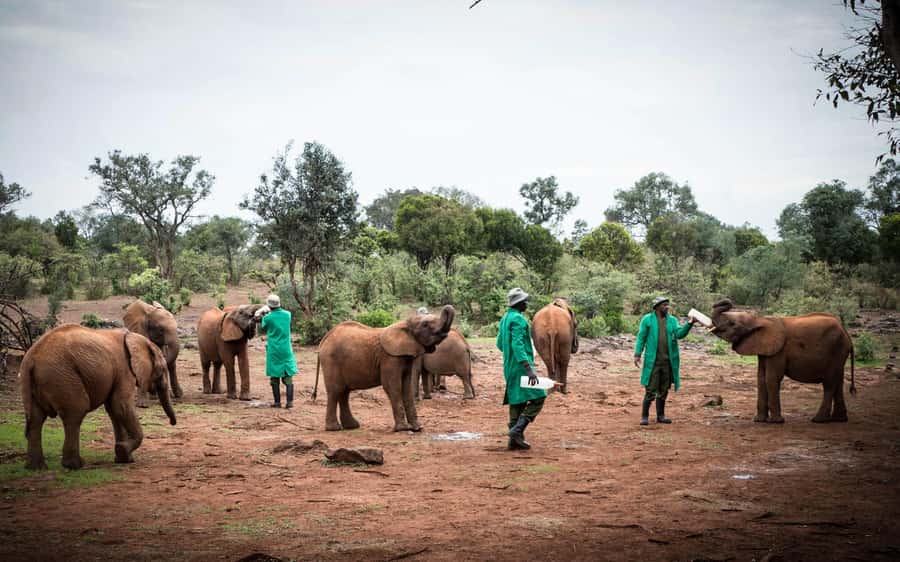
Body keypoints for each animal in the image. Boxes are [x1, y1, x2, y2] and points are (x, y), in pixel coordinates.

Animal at [19, 324, 177, 470]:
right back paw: (75, 465)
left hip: (39, 381)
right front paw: (122, 450)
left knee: (36, 419)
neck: (138, 339)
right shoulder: (124, 370)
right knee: (75, 413)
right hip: (61, 377)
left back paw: (36, 467)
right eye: (162, 369)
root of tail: (31, 358)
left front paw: (124, 458)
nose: (172, 423)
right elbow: (121, 406)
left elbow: (114, 410)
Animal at [313, 305, 455, 432]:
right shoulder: (390, 358)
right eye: (425, 324)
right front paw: (403, 429)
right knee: (336, 390)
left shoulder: (405, 357)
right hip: (331, 360)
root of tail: (324, 340)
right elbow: (393, 386)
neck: (405, 324)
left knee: (344, 392)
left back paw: (352, 426)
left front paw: (418, 428)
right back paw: (334, 429)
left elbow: (406, 387)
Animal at [710, 299, 855, 424]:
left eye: (732, 324)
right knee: (838, 381)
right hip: (839, 354)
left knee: (829, 383)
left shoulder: (779, 351)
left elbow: (771, 378)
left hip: (836, 350)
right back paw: (839, 419)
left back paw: (818, 420)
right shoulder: (764, 349)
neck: (759, 319)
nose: (726, 301)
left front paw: (776, 421)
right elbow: (761, 378)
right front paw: (759, 420)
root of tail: (847, 334)